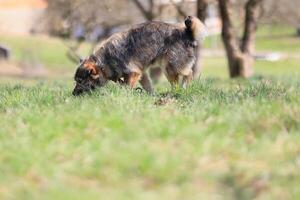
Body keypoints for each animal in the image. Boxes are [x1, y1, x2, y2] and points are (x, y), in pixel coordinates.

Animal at [72, 16, 206, 95]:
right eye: (75, 81)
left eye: (80, 81)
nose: (73, 94)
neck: (103, 63)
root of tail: (186, 33)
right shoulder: (142, 74)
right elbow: (148, 87)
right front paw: (151, 96)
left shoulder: (133, 73)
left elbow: (127, 88)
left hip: (169, 67)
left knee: (188, 74)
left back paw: (180, 90)